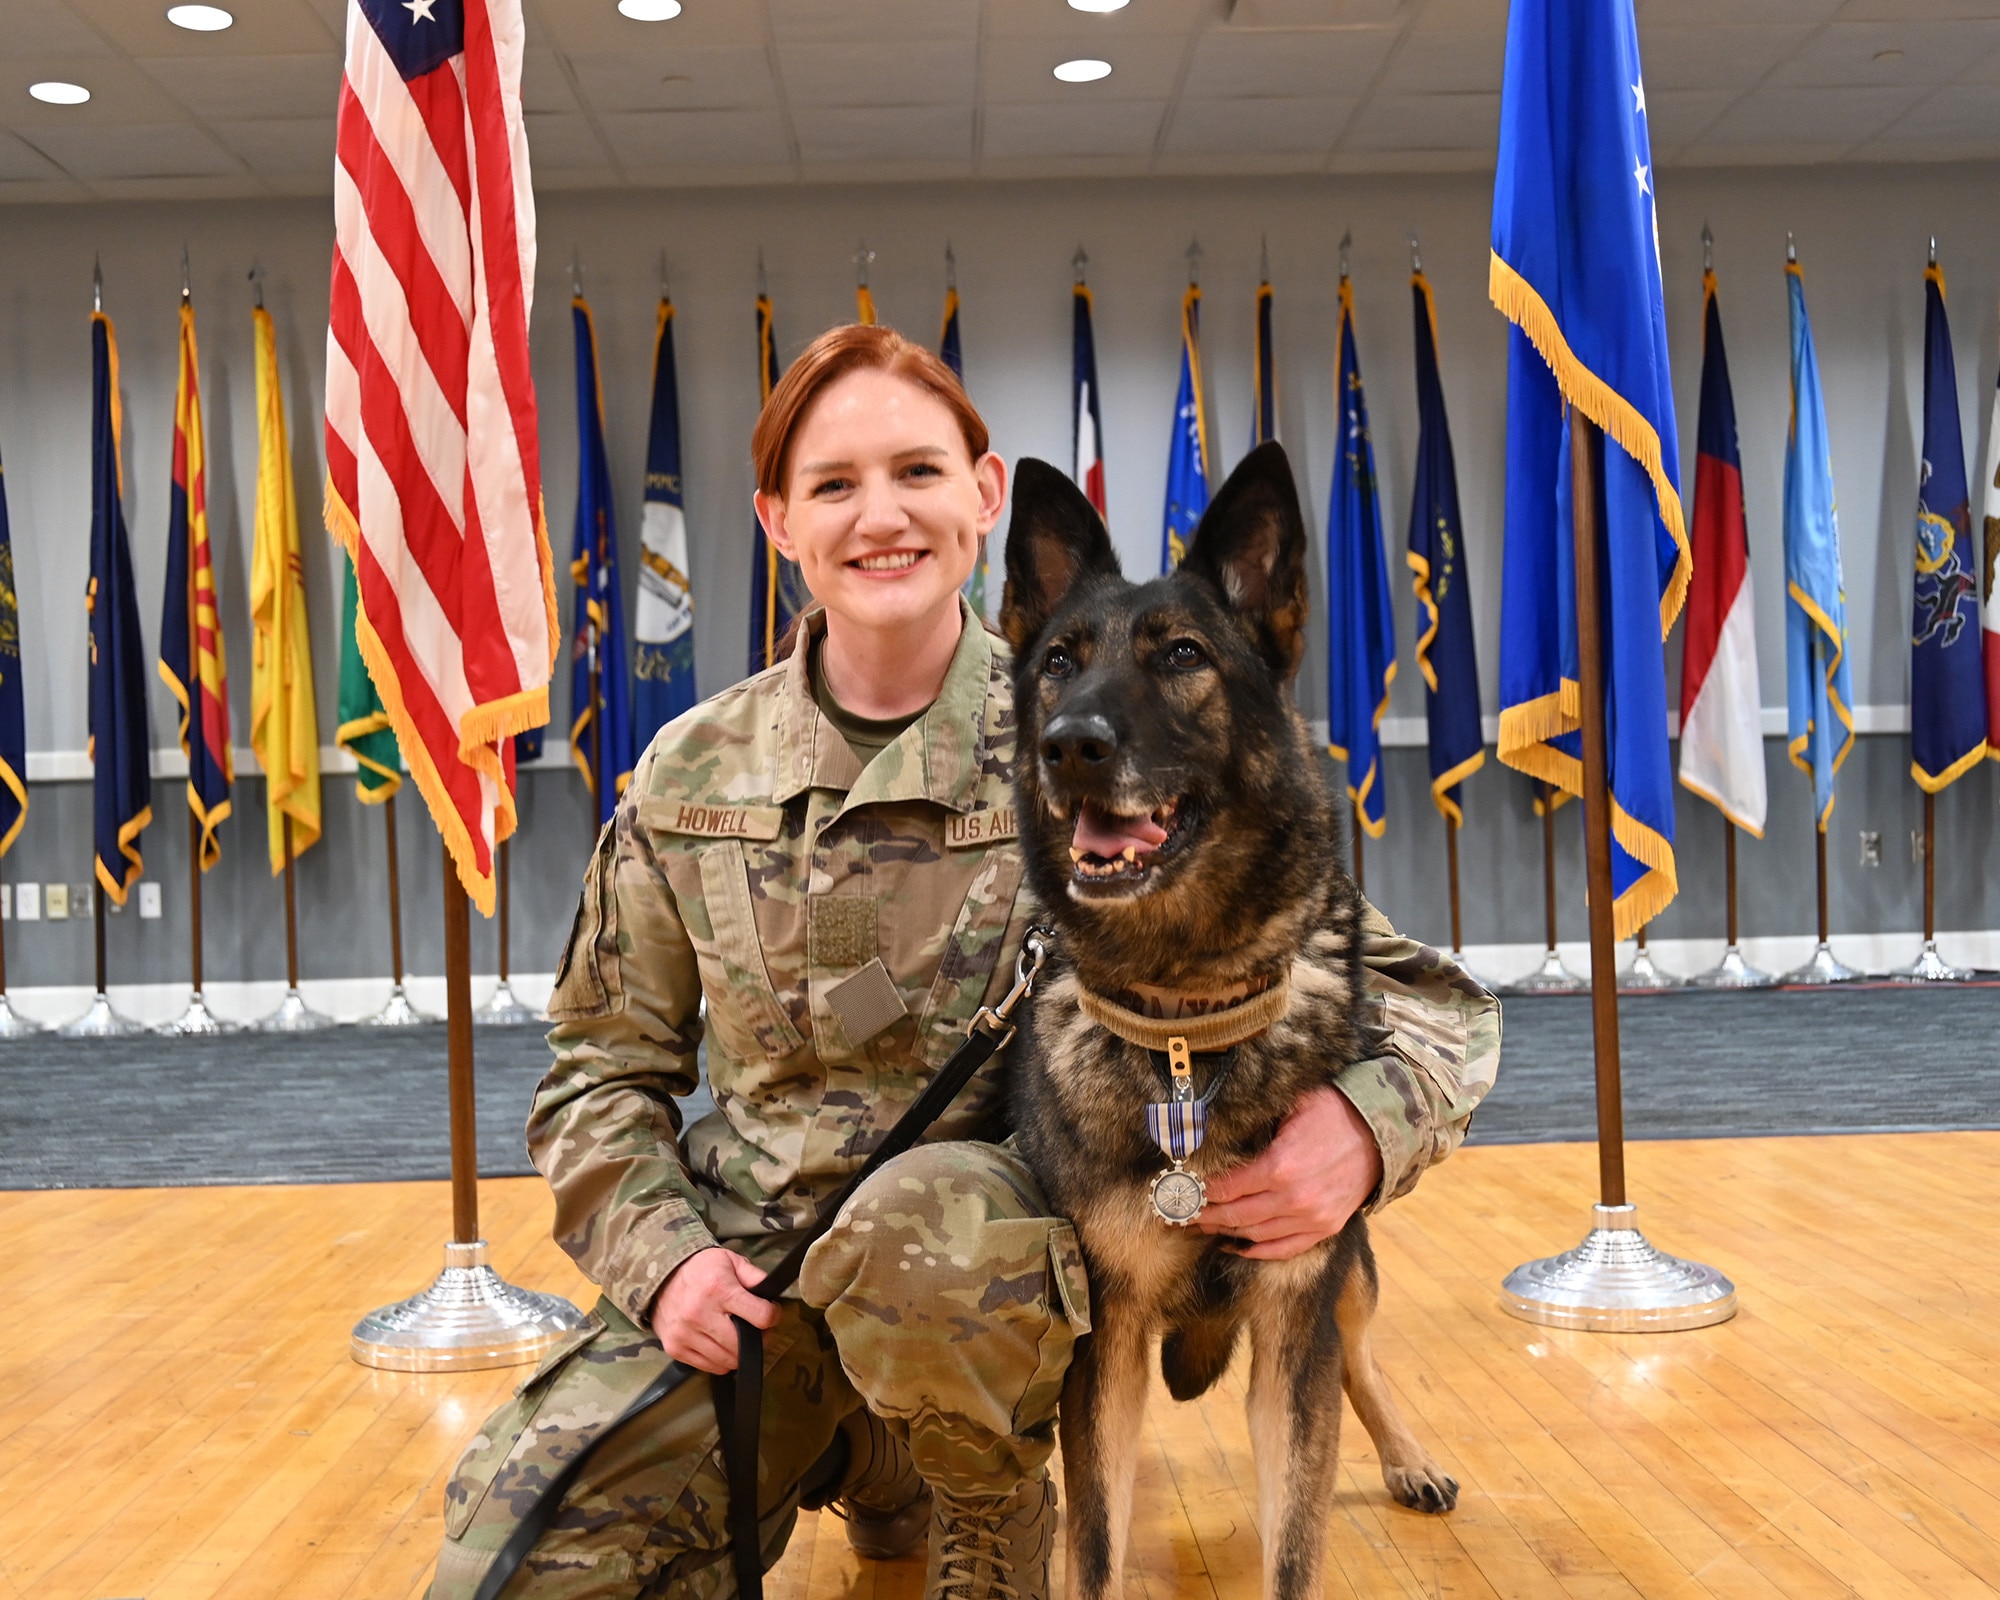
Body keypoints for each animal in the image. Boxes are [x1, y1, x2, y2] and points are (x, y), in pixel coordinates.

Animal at [996, 444, 1456, 1600]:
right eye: (1059, 660)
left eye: (1183, 656)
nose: (1069, 745)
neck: (1184, 1027)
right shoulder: (1105, 1340)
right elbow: (1096, 1542)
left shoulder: (1294, 1321)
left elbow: (1295, 1538)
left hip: (1345, 1273)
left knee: (1360, 1357)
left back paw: (1409, 1458)